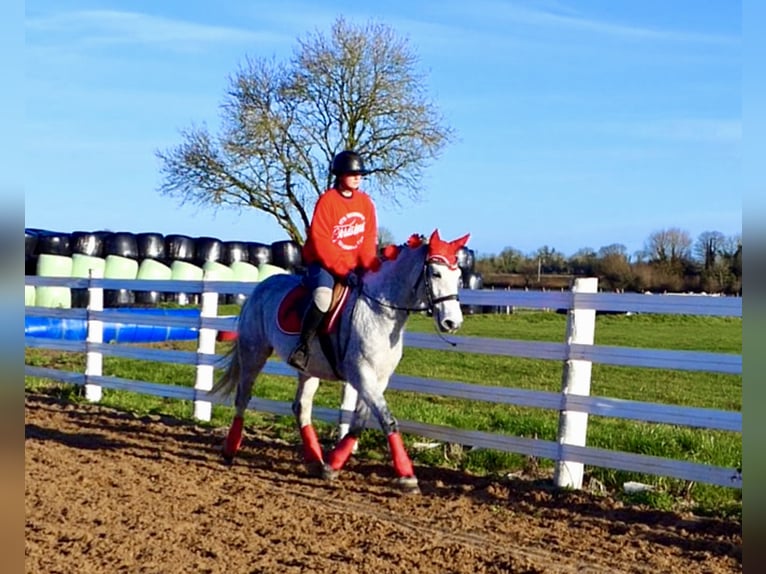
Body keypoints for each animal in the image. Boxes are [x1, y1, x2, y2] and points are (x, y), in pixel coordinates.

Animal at [212, 229, 470, 492]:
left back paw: (315, 460)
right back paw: (230, 449)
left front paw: (333, 464)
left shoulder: (378, 379)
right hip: (254, 353)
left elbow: (359, 421)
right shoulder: (362, 375)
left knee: (301, 408)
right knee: (243, 397)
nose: (453, 322)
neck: (380, 311)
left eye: (458, 275)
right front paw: (407, 476)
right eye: (436, 273)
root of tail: (260, 288)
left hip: (308, 370)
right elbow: (388, 420)